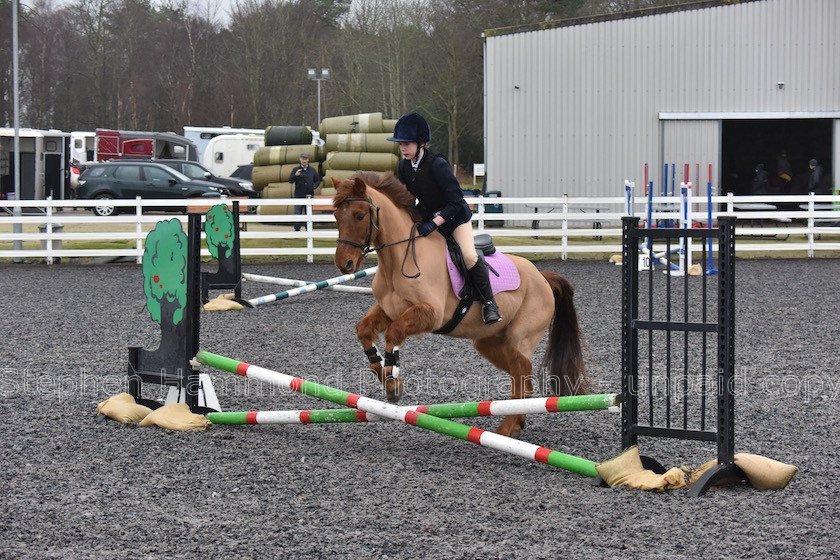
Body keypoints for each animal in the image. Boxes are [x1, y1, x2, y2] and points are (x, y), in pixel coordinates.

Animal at [332, 172, 588, 438]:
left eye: (360, 215)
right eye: (336, 216)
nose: (345, 264)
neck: (399, 260)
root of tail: (543, 278)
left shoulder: (430, 314)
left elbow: (394, 333)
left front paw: (393, 383)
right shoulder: (388, 310)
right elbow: (364, 330)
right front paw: (384, 373)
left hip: (521, 339)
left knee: (521, 376)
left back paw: (507, 427)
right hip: (489, 342)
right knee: (520, 378)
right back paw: (516, 422)